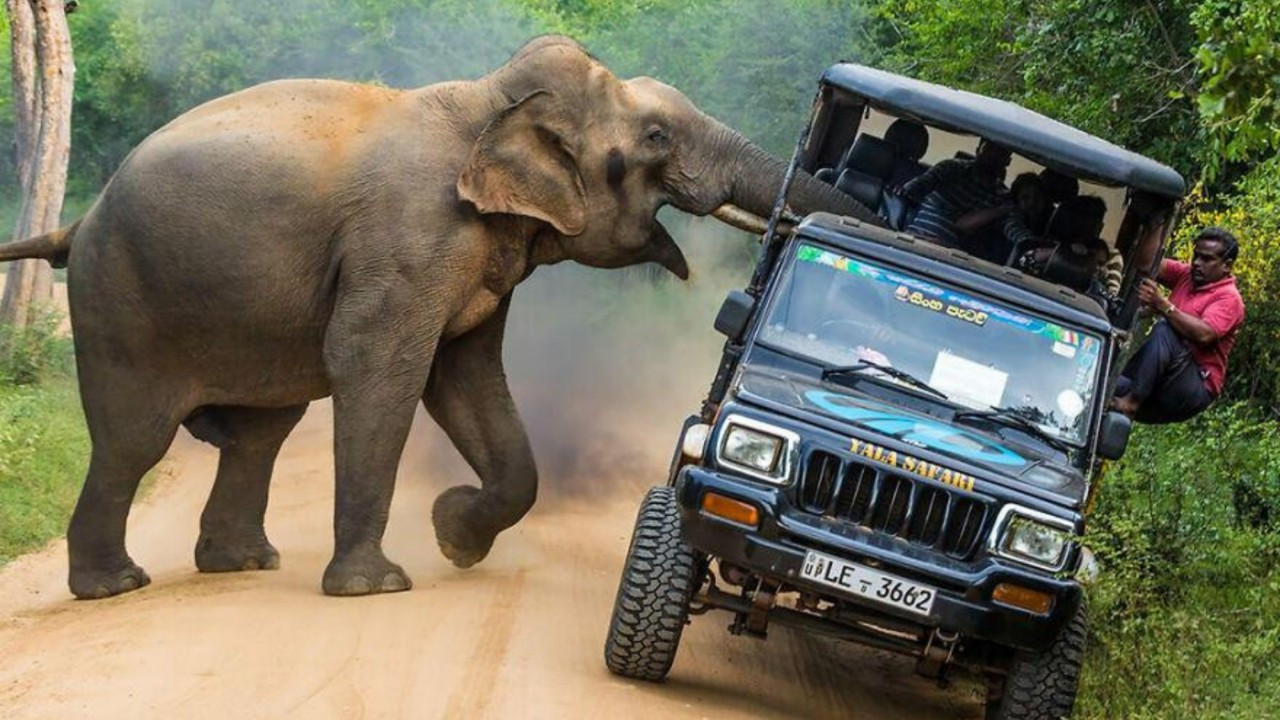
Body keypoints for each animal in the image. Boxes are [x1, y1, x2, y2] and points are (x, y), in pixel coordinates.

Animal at [0, 33, 880, 597]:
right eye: (657, 137)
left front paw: (453, 534)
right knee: (135, 442)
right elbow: (379, 367)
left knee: (259, 434)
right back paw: (116, 585)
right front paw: (379, 585)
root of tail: (79, 223)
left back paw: (244, 565)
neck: (489, 102)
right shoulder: (408, 241)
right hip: (121, 301)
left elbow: (466, 379)